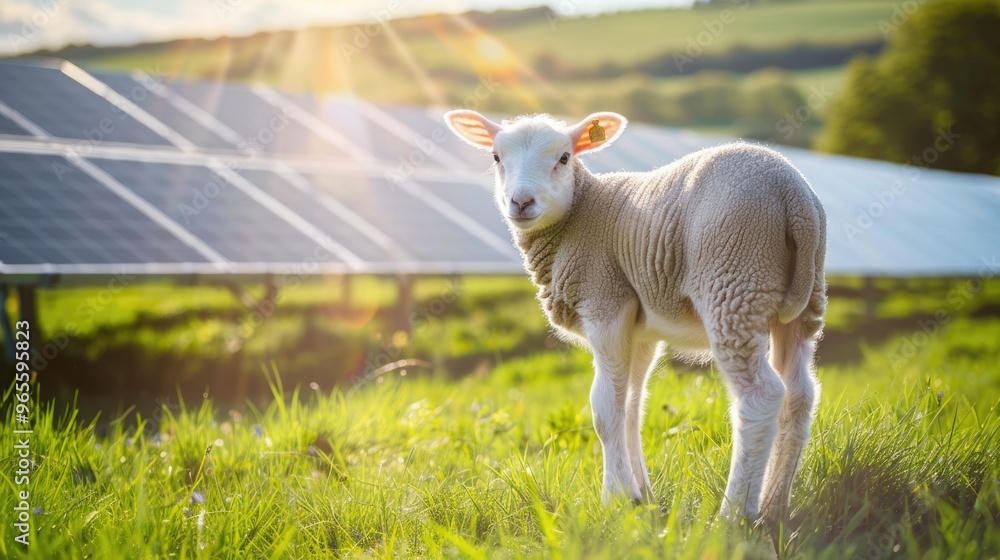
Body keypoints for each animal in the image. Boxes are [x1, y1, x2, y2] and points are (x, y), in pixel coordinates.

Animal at [443, 109, 827, 525]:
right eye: (496, 157)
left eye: (564, 157)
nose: (521, 201)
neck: (581, 213)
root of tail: (791, 193)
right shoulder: (641, 329)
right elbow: (631, 405)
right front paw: (642, 497)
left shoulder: (603, 301)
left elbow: (605, 409)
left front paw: (614, 499)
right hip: (803, 302)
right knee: (800, 395)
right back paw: (775, 507)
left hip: (735, 279)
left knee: (761, 396)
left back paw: (734, 514)